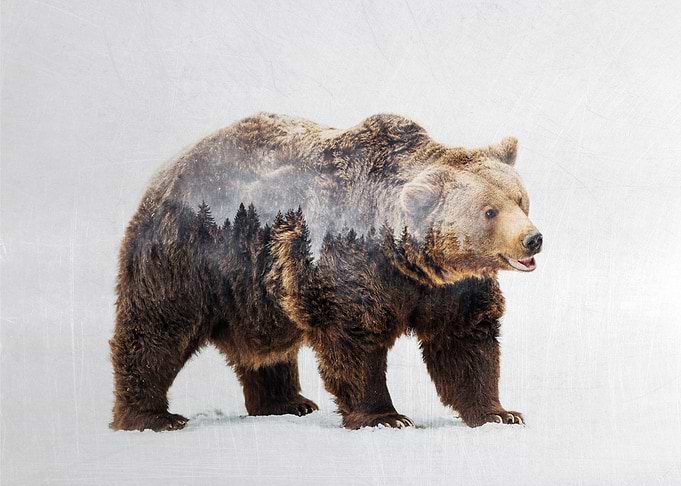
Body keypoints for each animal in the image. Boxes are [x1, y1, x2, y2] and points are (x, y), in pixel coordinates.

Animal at [110, 113, 542, 431]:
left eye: (521, 200)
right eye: (489, 211)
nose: (532, 239)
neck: (407, 260)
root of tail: (166, 172)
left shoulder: (451, 288)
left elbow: (465, 342)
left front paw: (499, 412)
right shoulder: (346, 262)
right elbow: (353, 340)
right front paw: (385, 417)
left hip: (253, 288)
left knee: (266, 349)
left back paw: (286, 402)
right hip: (189, 253)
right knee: (159, 328)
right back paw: (151, 416)